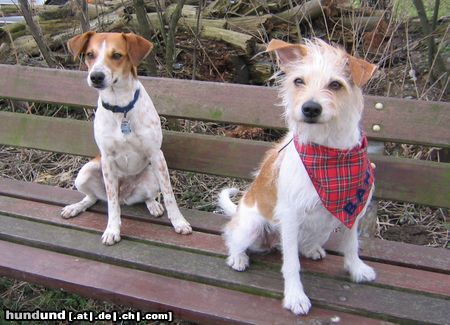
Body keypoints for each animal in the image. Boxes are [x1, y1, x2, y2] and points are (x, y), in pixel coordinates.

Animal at [61, 32, 192, 243]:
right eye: (90, 54)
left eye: (116, 55)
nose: (96, 76)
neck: (120, 107)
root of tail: (125, 195)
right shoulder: (107, 160)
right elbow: (111, 204)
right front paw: (112, 229)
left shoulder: (157, 155)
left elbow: (169, 195)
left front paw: (178, 222)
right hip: (85, 173)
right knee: (95, 198)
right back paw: (76, 207)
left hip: (151, 176)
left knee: (148, 196)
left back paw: (153, 205)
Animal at [220, 38, 378, 314]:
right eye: (298, 81)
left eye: (335, 84)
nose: (310, 108)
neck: (328, 151)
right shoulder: (291, 216)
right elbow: (291, 264)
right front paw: (295, 296)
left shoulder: (353, 209)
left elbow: (352, 244)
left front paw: (357, 269)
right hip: (251, 226)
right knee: (232, 238)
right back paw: (238, 257)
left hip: (323, 228)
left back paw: (312, 249)